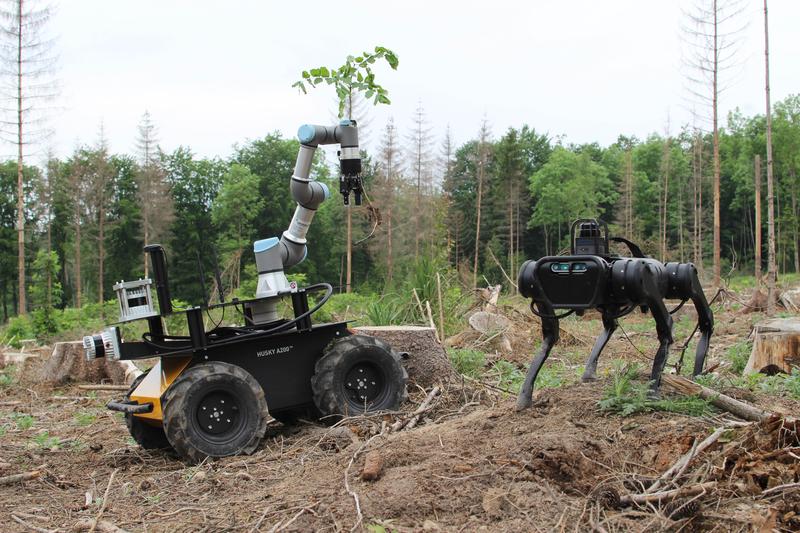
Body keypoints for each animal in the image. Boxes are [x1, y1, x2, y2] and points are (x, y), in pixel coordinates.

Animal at [516, 218, 716, 410]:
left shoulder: (640, 279)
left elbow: (666, 327)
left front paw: (652, 393)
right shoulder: (536, 288)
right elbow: (550, 334)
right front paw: (524, 397)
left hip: (681, 277)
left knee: (703, 311)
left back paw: (698, 375)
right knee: (610, 324)